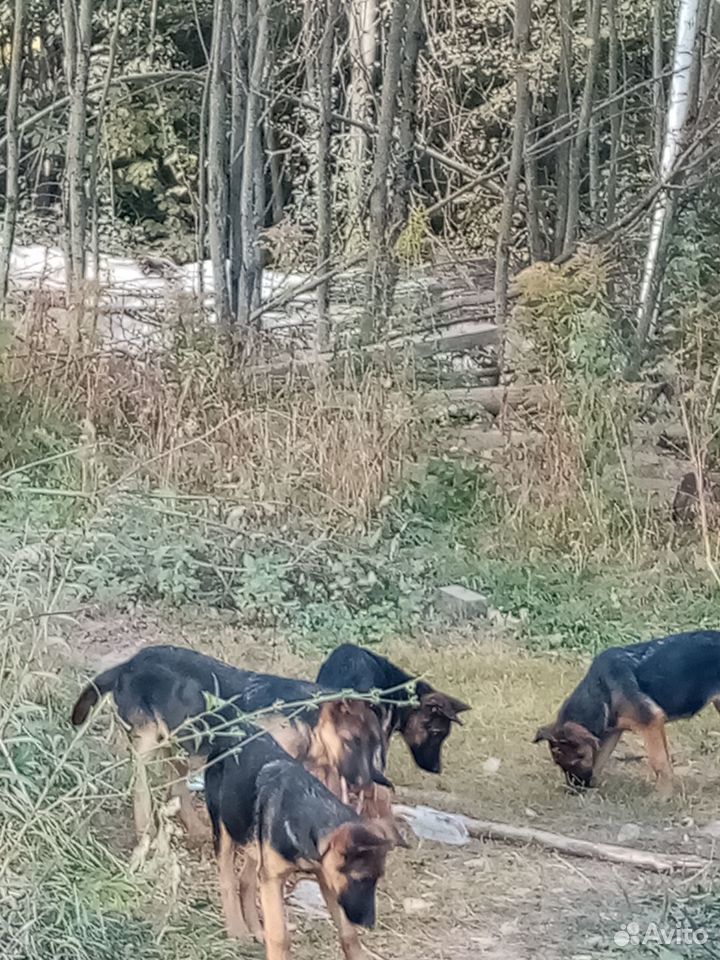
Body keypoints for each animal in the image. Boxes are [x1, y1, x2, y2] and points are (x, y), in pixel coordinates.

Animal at [69, 644, 388, 840]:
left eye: (375, 746)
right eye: (354, 741)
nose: (364, 783)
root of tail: (127, 664)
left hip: (183, 745)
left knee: (175, 784)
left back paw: (194, 829)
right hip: (151, 739)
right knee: (141, 784)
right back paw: (146, 826)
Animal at [204, 728, 400, 960]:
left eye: (377, 879)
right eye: (360, 878)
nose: (369, 924)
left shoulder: (327, 879)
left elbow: (348, 933)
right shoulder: (274, 879)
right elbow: (279, 936)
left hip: (251, 831)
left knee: (246, 880)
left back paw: (256, 930)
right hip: (224, 827)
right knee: (228, 879)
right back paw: (238, 931)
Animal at [536, 632, 720, 796]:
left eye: (575, 761)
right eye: (559, 764)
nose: (574, 791)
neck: (600, 689)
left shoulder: (651, 722)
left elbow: (660, 763)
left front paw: (662, 797)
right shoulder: (612, 731)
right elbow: (600, 759)